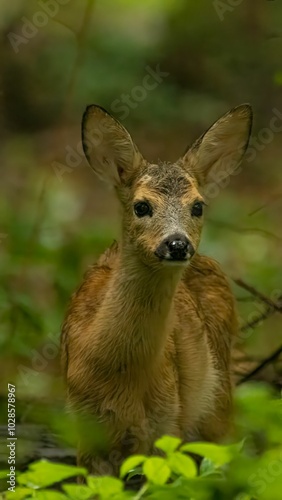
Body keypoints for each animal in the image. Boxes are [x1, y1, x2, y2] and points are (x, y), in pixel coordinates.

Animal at [60, 102, 253, 476]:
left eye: (198, 206)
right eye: (141, 206)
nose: (177, 244)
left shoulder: (167, 424)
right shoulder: (84, 432)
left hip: (218, 402)